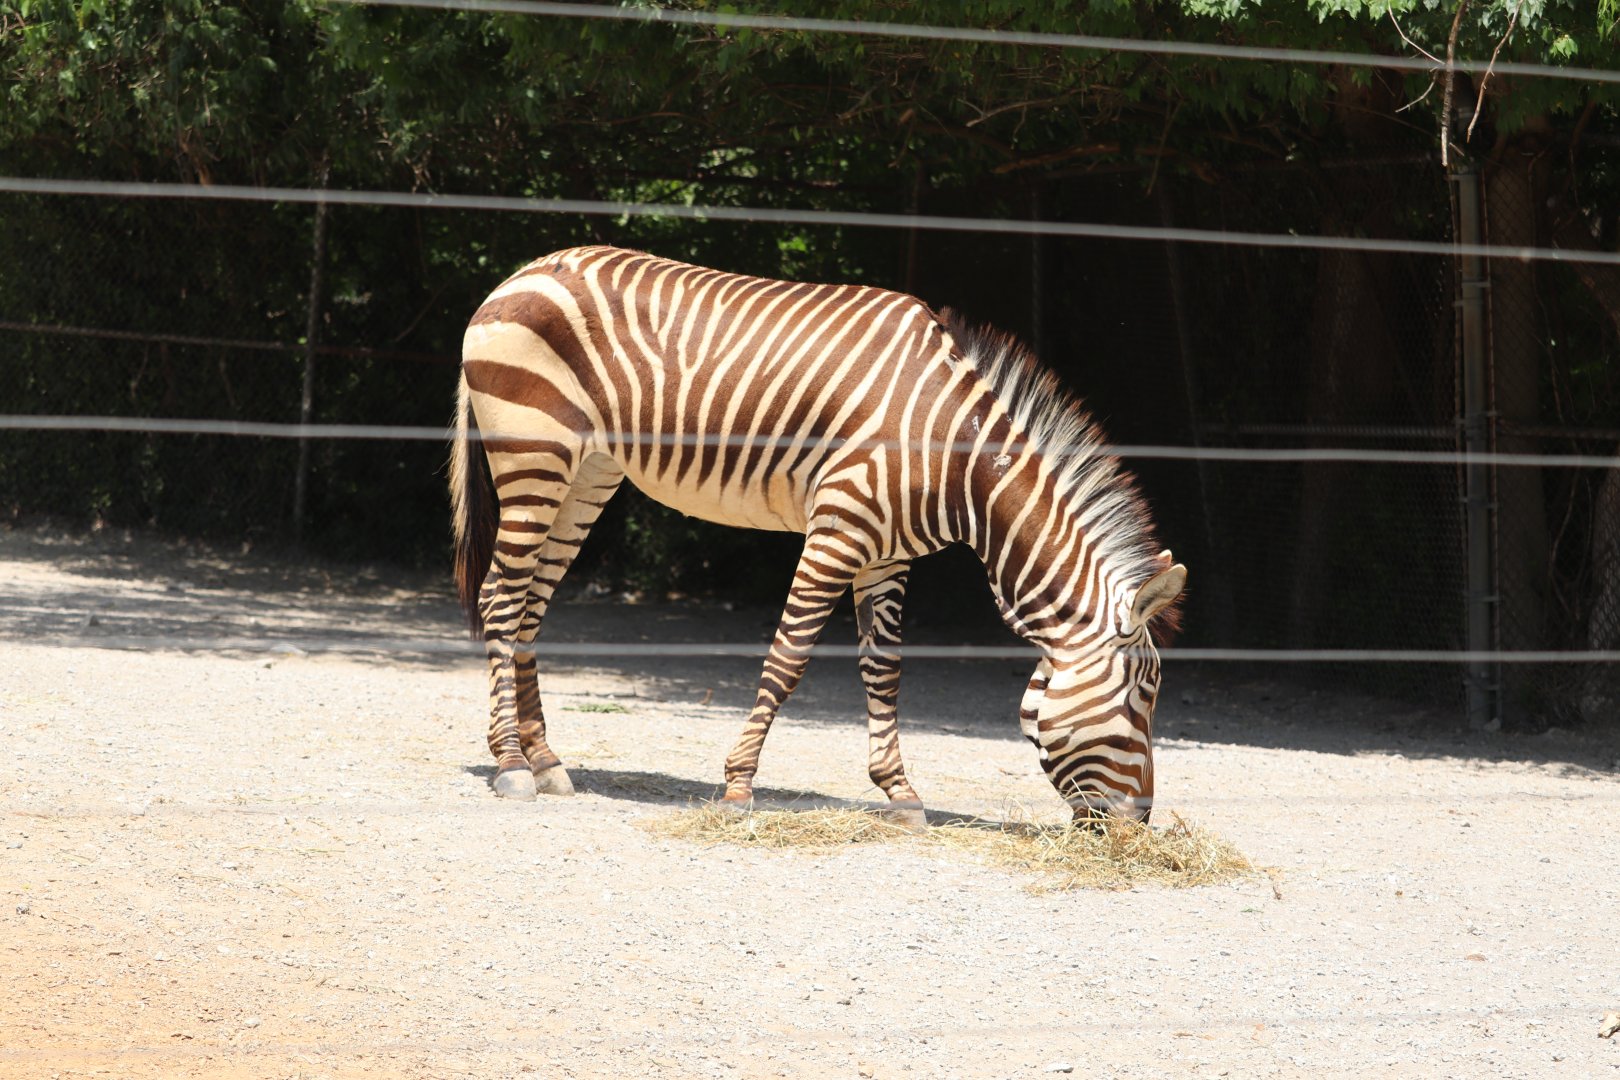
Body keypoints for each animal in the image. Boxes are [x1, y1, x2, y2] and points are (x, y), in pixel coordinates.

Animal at [450, 246, 1185, 824]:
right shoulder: (839, 527)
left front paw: (899, 792)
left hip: (587, 474)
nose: (1142, 824)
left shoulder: (887, 556)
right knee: (500, 600)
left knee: (531, 607)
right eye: (1144, 695)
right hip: (534, 454)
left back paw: (546, 759)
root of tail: (521, 272)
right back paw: (510, 764)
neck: (957, 456)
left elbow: (883, 668)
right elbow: (790, 656)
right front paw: (739, 785)